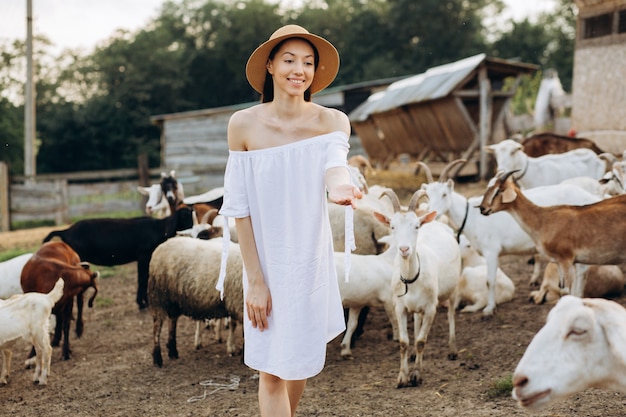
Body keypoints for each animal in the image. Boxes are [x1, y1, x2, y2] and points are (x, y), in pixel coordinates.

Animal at [41, 205, 193, 308]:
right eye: (185, 216)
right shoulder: (143, 256)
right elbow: (142, 279)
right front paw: (143, 304)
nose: (193, 231)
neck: (159, 229)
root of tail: (66, 231)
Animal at [147, 236, 243, 366]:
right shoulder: (240, 304)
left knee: (172, 321)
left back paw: (173, 351)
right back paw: (157, 358)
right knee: (157, 326)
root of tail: (161, 246)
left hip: (174, 300)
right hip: (159, 296)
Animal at [372, 188, 460, 386]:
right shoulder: (400, 307)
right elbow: (403, 342)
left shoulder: (430, 307)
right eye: (393, 226)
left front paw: (416, 375)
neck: (411, 278)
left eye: (416, 226)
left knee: (451, 314)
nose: (404, 249)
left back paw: (452, 349)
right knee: (417, 320)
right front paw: (402, 377)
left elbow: (421, 340)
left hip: (453, 289)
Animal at [420, 159, 600, 316]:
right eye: (427, 195)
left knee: (582, 271)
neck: (470, 215)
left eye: (444, 194)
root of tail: (592, 198)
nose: (433, 214)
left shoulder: (491, 251)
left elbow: (490, 281)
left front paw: (489, 310)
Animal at [476, 171, 624, 298]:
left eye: (498, 190)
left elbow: (567, 292)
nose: (483, 209)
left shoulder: (566, 260)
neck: (544, 219)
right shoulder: (558, 262)